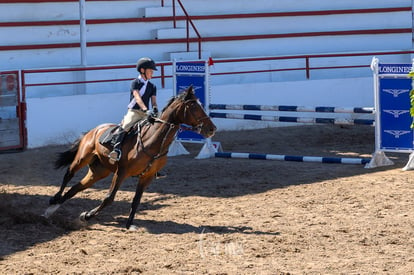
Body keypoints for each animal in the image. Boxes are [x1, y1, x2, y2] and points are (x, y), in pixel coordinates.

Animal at [43, 87, 217, 230]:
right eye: (193, 107)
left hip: (99, 172)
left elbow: (136, 200)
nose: (212, 129)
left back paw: (51, 210)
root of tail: (94, 130)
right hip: (82, 158)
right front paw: (87, 215)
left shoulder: (147, 176)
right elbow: (109, 198)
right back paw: (53, 201)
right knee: (69, 174)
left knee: (75, 188)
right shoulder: (121, 172)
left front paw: (129, 224)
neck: (153, 142)